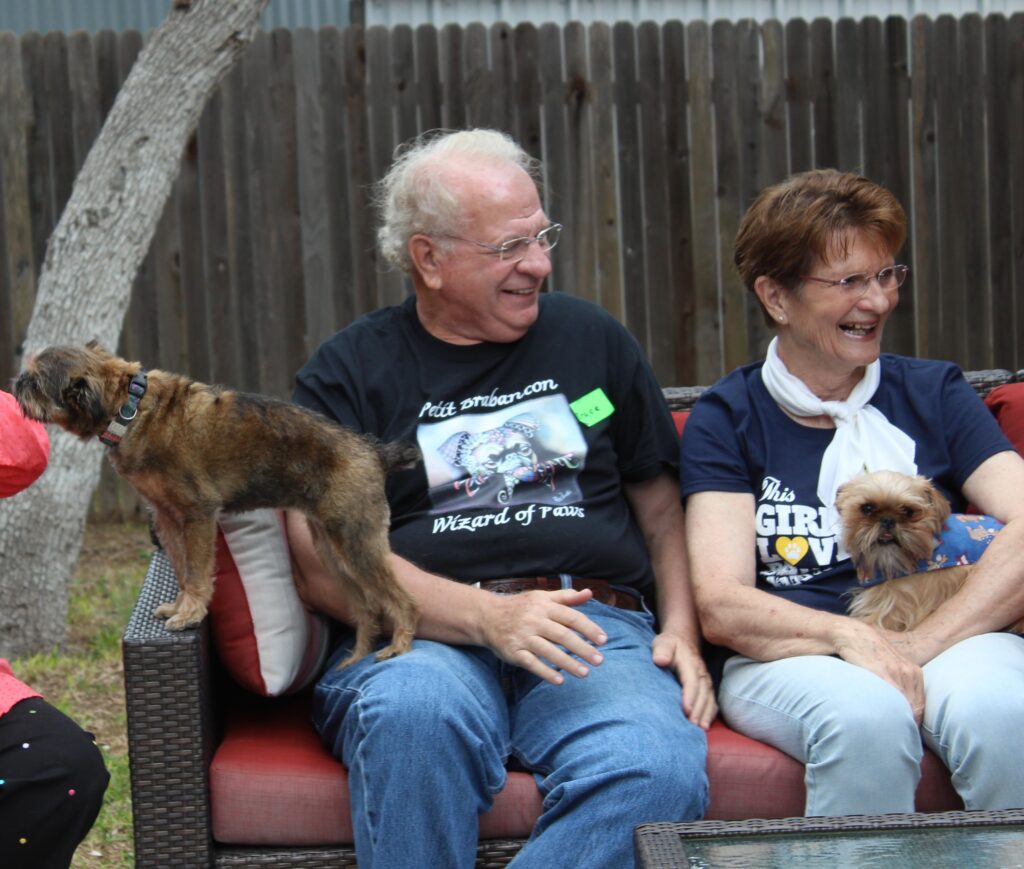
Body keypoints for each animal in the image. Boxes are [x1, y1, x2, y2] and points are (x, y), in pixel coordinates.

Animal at [12, 339, 419, 663]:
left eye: (35, 382)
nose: (16, 382)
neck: (130, 407)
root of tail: (374, 451)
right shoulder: (168, 518)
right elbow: (181, 569)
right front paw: (181, 605)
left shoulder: (197, 514)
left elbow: (196, 571)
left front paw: (191, 612)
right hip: (333, 552)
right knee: (367, 609)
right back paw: (355, 659)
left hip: (356, 543)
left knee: (403, 601)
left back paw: (399, 647)